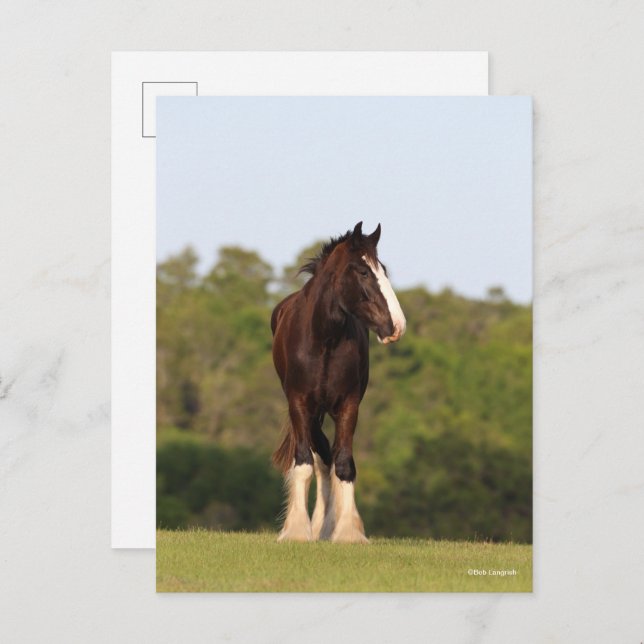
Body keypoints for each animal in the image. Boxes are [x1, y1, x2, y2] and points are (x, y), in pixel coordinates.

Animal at [270, 222, 406, 543]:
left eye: (383, 269)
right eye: (364, 271)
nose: (397, 326)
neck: (324, 340)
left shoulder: (348, 406)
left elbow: (344, 464)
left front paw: (347, 531)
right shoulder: (300, 405)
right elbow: (304, 462)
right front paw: (297, 530)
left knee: (329, 460)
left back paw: (326, 525)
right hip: (311, 414)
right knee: (319, 458)